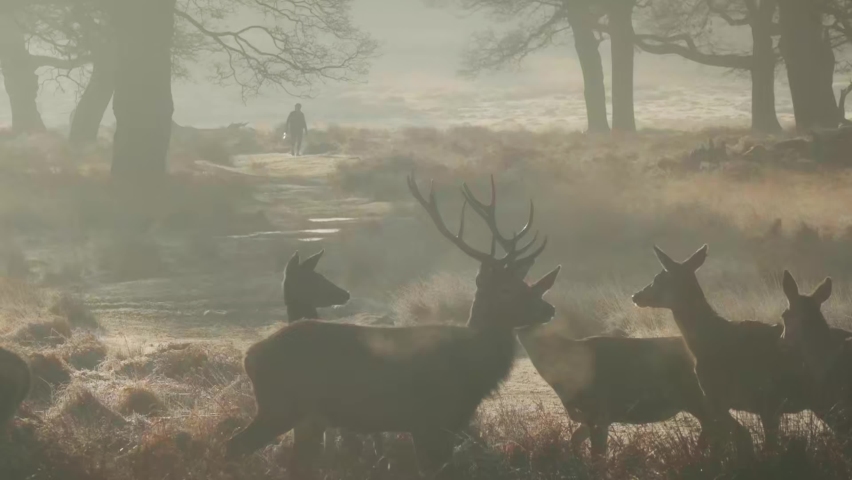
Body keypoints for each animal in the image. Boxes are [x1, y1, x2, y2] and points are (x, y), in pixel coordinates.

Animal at [225, 173, 561, 478]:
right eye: (505, 289)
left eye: (525, 283)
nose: (549, 308)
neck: (470, 367)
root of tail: (249, 356)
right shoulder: (429, 419)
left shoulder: (444, 425)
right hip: (280, 405)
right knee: (234, 445)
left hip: (301, 414)